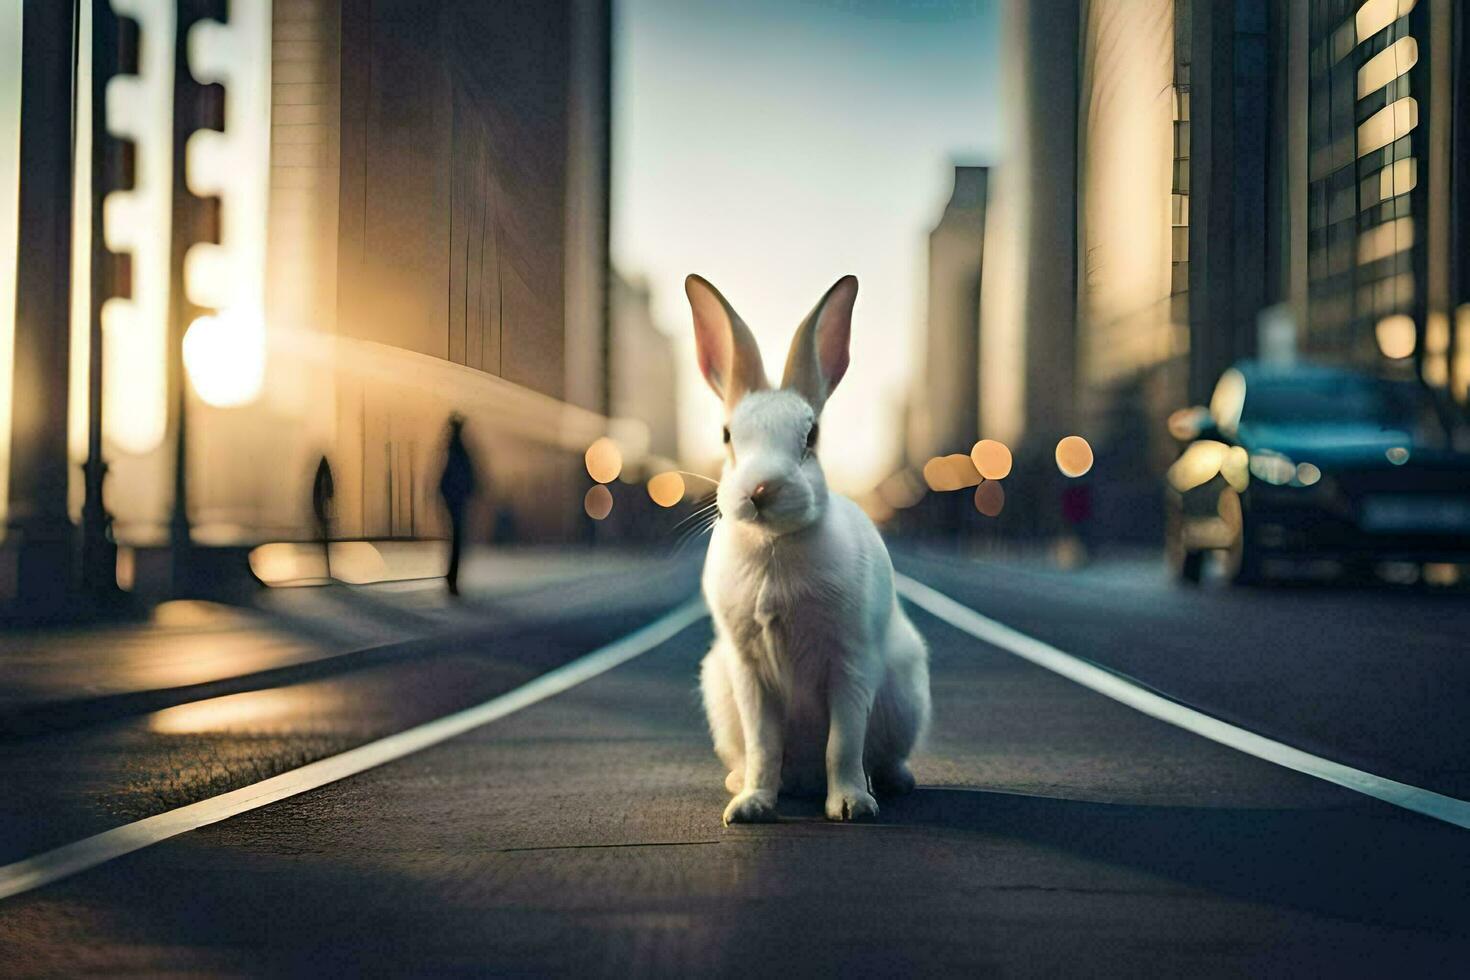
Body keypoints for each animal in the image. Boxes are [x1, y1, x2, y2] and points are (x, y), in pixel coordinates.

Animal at [685, 271, 929, 822]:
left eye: (811, 436)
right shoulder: (748, 672)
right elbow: (763, 744)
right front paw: (751, 807)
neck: (774, 545)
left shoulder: (851, 662)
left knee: (881, 755)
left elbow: (843, 743)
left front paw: (851, 806)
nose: (761, 490)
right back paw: (741, 784)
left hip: (905, 690)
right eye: (727, 435)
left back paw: (895, 782)